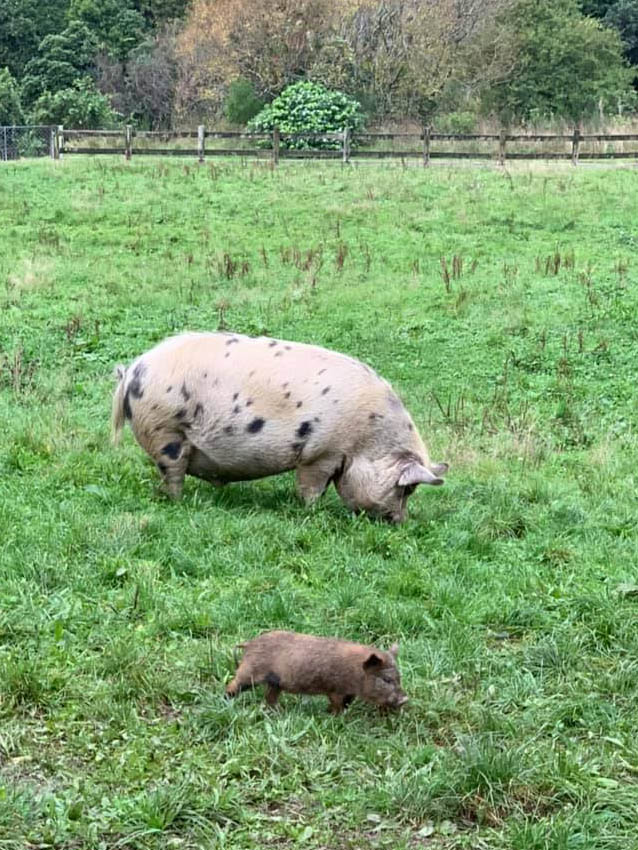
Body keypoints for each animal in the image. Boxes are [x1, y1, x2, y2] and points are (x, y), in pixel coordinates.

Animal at [111, 331, 448, 523]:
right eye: (408, 488)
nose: (400, 522)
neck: (366, 441)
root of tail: (133, 370)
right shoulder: (320, 453)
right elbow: (312, 487)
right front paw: (312, 513)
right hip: (167, 431)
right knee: (173, 473)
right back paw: (180, 503)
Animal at [225, 630, 408, 713]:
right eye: (386, 679)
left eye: (399, 678)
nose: (405, 699)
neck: (355, 672)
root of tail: (249, 644)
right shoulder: (334, 689)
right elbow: (337, 704)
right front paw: (335, 715)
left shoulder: (349, 692)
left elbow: (347, 703)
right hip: (250, 671)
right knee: (233, 684)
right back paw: (227, 700)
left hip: (275, 682)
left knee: (270, 697)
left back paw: (278, 711)